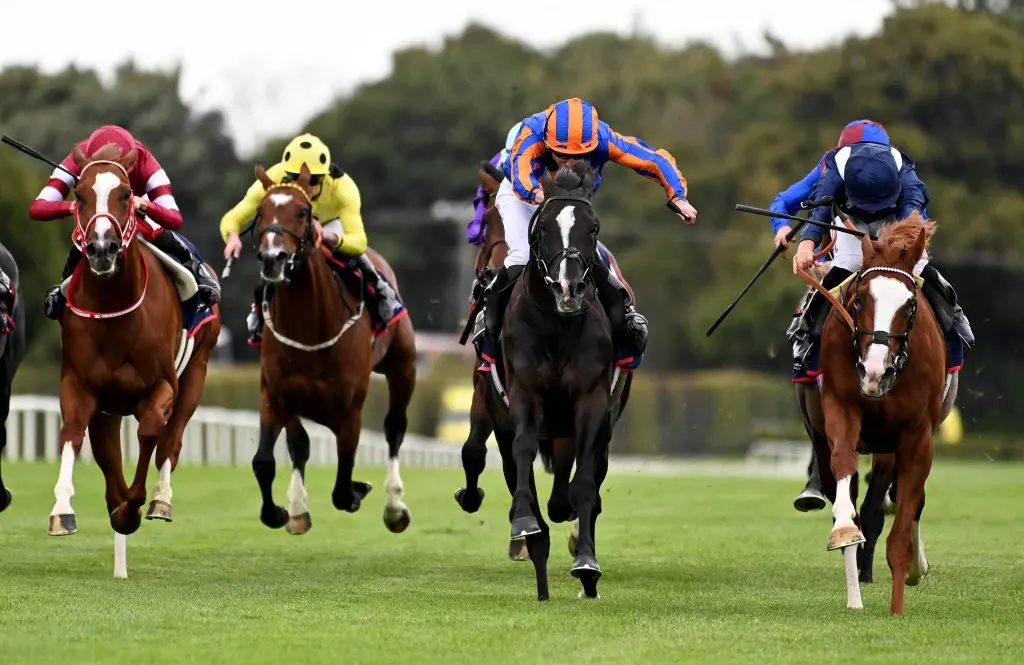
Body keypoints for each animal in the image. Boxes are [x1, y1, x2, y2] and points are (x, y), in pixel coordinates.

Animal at [48, 141, 222, 573]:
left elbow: (150, 434)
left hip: (197, 371)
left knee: (171, 441)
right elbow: (73, 435)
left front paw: (133, 507)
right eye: (79, 194)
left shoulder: (161, 385)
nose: (101, 248)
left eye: (127, 194)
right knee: (105, 448)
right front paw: (63, 511)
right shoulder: (80, 385)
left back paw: (159, 500)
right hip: (110, 405)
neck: (115, 308)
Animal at [247, 162, 415, 536]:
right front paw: (279, 512)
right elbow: (265, 461)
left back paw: (395, 507)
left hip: (403, 365)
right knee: (300, 445)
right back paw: (298, 510)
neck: (310, 328)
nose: (273, 259)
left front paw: (358, 490)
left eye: (303, 211)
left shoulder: (350, 408)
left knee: (394, 427)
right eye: (260, 211)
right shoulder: (274, 394)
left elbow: (342, 486)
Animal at [458, 161, 626, 602]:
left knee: (583, 487)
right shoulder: (517, 397)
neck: (556, 325)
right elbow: (517, 458)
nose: (570, 287)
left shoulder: (592, 404)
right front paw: (525, 530)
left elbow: (584, 485)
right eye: (543, 228)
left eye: (593, 228)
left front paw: (586, 564)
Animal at [811, 215, 946, 614]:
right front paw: (844, 534)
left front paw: (898, 603)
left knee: (909, 500)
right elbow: (845, 486)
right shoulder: (841, 408)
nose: (875, 371)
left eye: (910, 305)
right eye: (858, 301)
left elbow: (902, 524)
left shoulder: (917, 435)